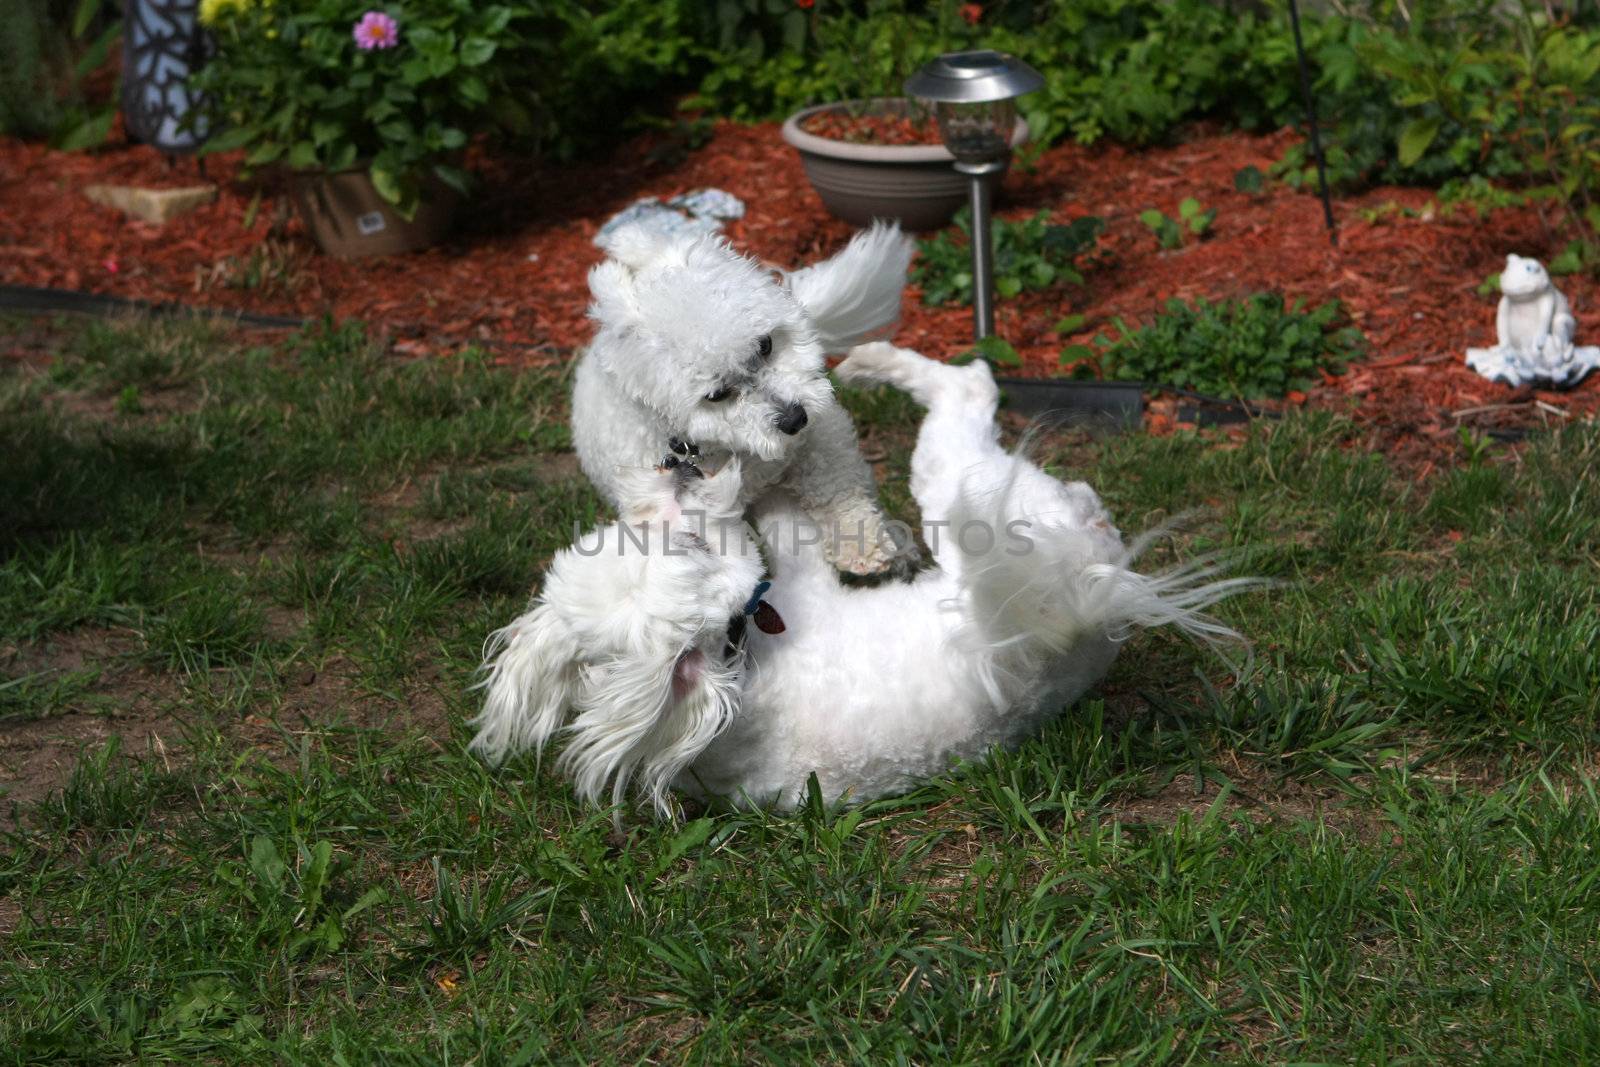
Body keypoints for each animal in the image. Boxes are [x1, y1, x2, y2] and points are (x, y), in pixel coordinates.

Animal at [470, 347, 1248, 812]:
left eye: (672, 537)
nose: (680, 466)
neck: (745, 657)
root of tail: (1087, 598)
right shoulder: (799, 575)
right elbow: (785, 525)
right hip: (965, 489)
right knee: (972, 389)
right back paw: (881, 365)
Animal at [572, 219, 915, 575]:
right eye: (717, 394)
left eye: (765, 345)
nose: (795, 419)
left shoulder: (821, 435)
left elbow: (835, 482)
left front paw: (860, 540)